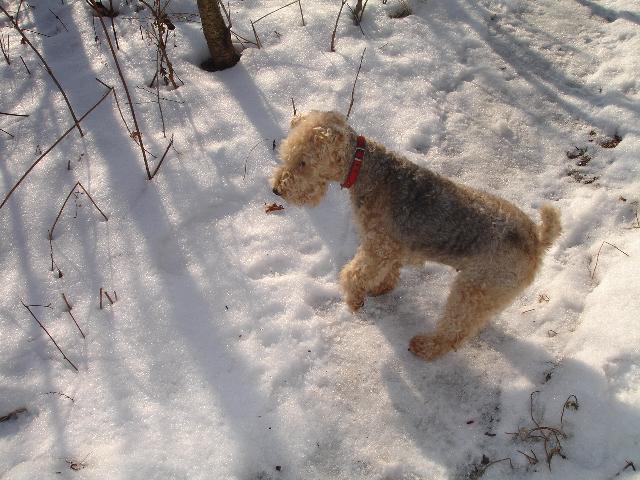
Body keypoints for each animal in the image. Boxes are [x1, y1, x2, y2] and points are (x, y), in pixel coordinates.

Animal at [270, 111, 560, 360]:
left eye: (303, 162)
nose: (276, 189)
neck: (367, 170)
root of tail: (537, 239)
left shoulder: (378, 247)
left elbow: (353, 274)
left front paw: (354, 300)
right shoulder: (392, 248)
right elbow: (388, 273)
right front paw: (379, 288)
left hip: (473, 290)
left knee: (454, 332)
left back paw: (424, 347)